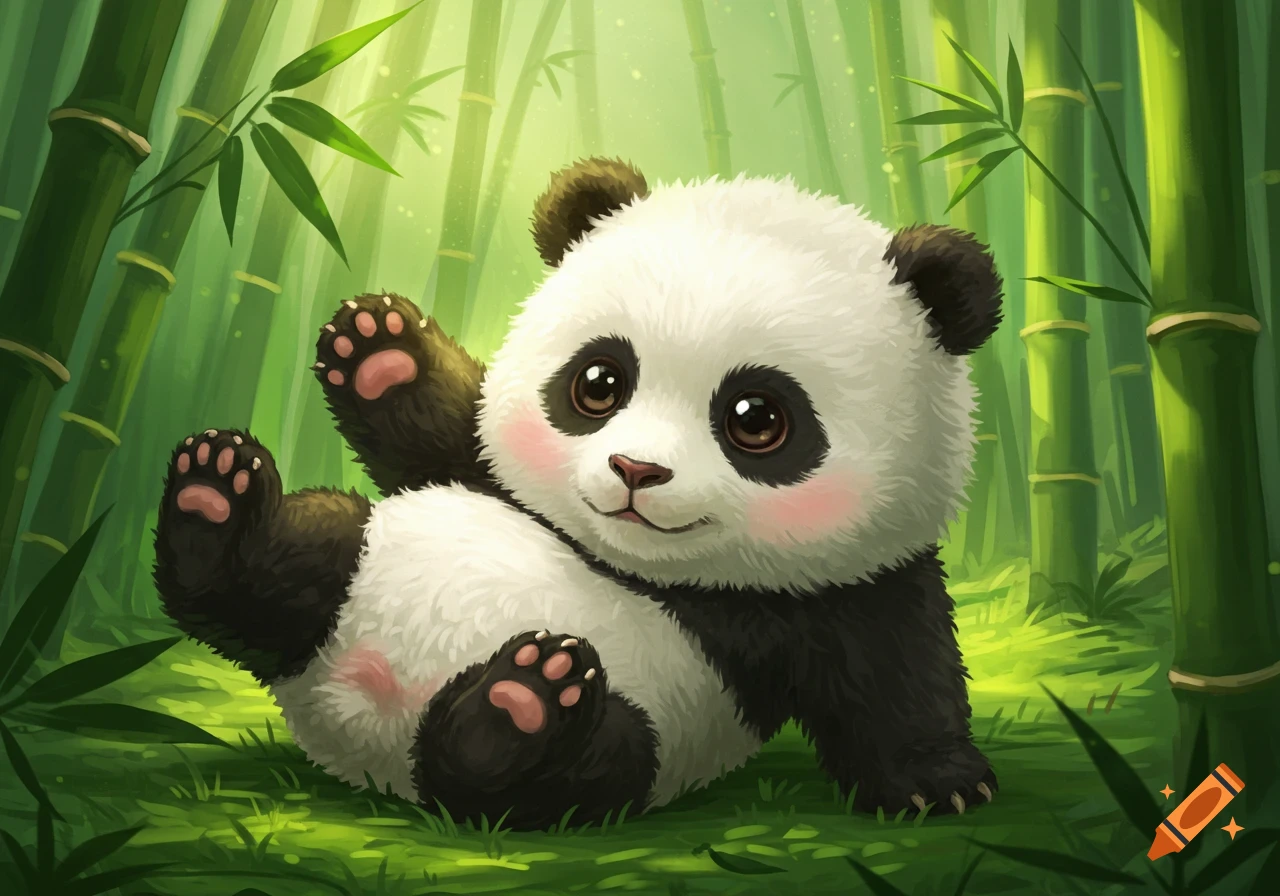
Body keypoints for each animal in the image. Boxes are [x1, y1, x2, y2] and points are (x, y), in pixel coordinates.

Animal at [154, 157, 1003, 831]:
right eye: (598, 382)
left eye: (757, 419)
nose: (636, 471)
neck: (637, 561)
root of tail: (360, 724)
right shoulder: (485, 475)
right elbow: (446, 442)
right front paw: (378, 351)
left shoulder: (845, 588)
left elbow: (895, 675)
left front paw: (938, 784)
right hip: (363, 548)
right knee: (286, 571)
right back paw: (213, 498)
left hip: (640, 737)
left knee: (530, 778)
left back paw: (522, 700)